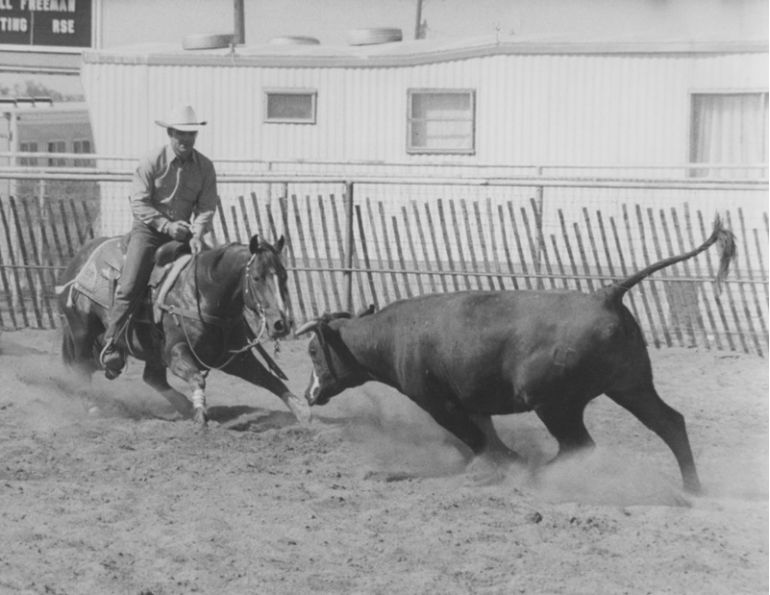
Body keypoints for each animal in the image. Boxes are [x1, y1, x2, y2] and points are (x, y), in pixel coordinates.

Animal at [56, 233, 310, 427]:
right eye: (257, 277)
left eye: (284, 276)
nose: (281, 323)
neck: (204, 293)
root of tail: (79, 260)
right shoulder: (175, 352)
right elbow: (197, 378)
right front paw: (201, 415)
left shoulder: (234, 358)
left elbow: (270, 380)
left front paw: (302, 411)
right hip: (82, 332)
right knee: (81, 367)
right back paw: (92, 406)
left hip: (151, 352)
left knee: (153, 378)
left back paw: (184, 407)